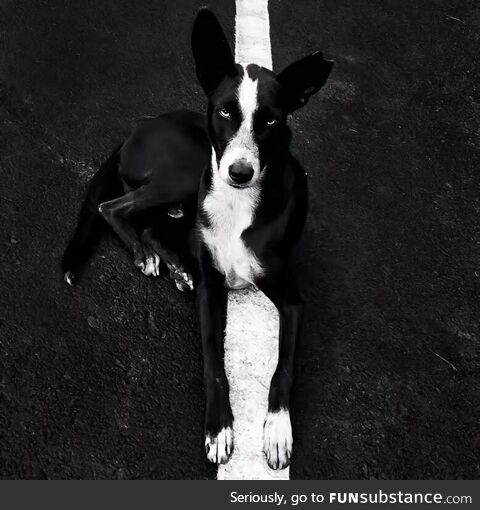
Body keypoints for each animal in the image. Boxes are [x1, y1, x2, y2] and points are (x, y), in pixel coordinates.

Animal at [62, 8, 332, 470]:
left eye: (271, 120)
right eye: (224, 112)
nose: (239, 172)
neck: (239, 204)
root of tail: (138, 128)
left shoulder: (293, 301)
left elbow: (283, 369)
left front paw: (278, 429)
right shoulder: (211, 291)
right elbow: (212, 360)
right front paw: (219, 428)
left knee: (149, 223)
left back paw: (172, 264)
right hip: (189, 172)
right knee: (112, 208)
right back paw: (148, 256)